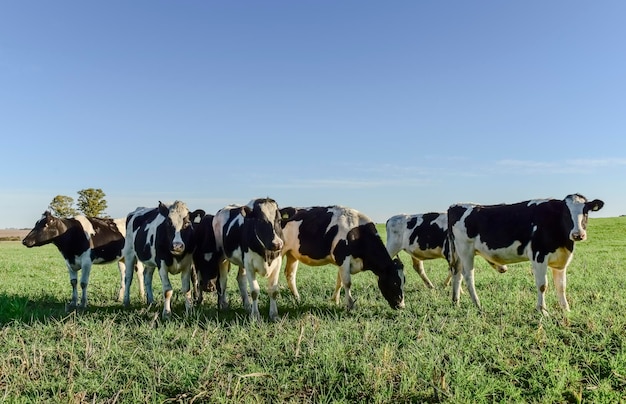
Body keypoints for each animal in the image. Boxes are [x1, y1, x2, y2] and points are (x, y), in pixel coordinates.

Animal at [446, 193, 604, 316]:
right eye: (566, 213)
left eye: (586, 212)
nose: (578, 235)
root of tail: (455, 205)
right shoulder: (539, 255)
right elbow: (543, 285)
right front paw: (542, 311)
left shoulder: (560, 260)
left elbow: (561, 286)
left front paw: (566, 309)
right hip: (465, 250)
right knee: (468, 276)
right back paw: (477, 304)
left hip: (459, 253)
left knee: (457, 274)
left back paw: (456, 302)